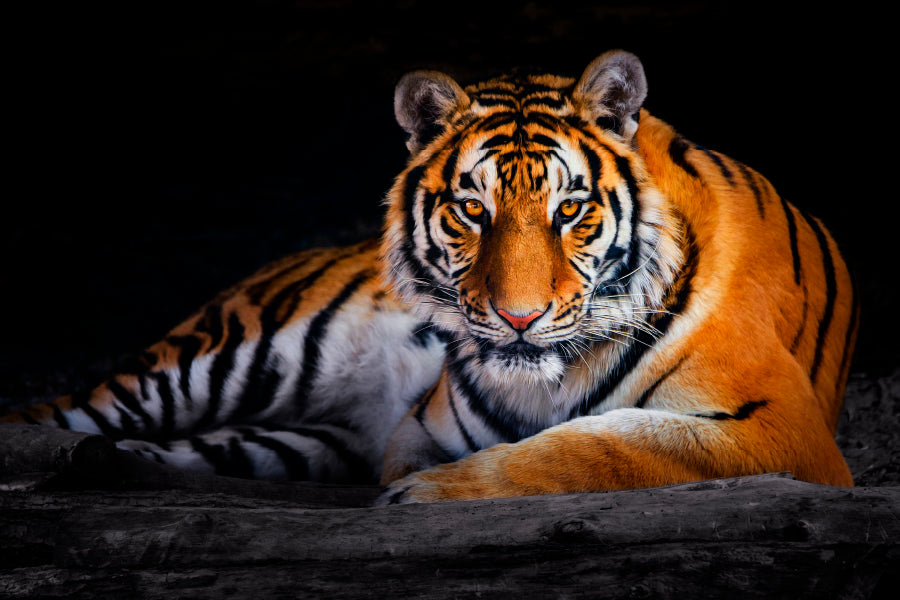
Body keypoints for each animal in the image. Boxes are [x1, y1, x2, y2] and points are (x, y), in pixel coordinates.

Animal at [1, 50, 858, 503]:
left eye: (570, 210)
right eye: (472, 210)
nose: (518, 318)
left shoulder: (780, 427)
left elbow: (595, 445)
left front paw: (429, 494)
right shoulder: (422, 422)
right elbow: (576, 442)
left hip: (284, 441)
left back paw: (100, 468)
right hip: (226, 359)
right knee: (46, 412)